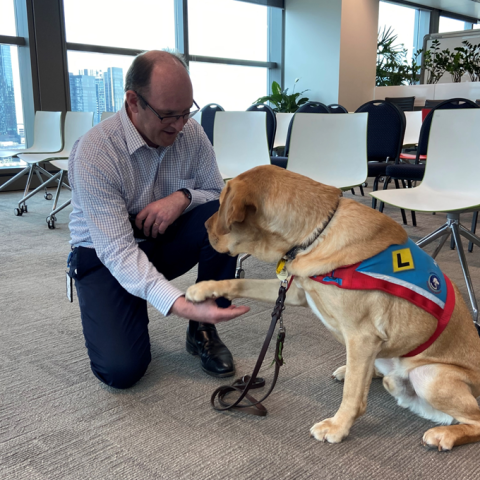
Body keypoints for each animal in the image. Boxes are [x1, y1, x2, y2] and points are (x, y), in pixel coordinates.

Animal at [186, 164, 480, 450]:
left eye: (220, 205)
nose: (203, 225)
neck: (315, 234)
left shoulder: (362, 337)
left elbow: (352, 396)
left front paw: (338, 427)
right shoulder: (297, 292)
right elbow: (242, 283)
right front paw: (202, 289)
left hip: (430, 375)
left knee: (473, 419)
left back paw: (444, 435)